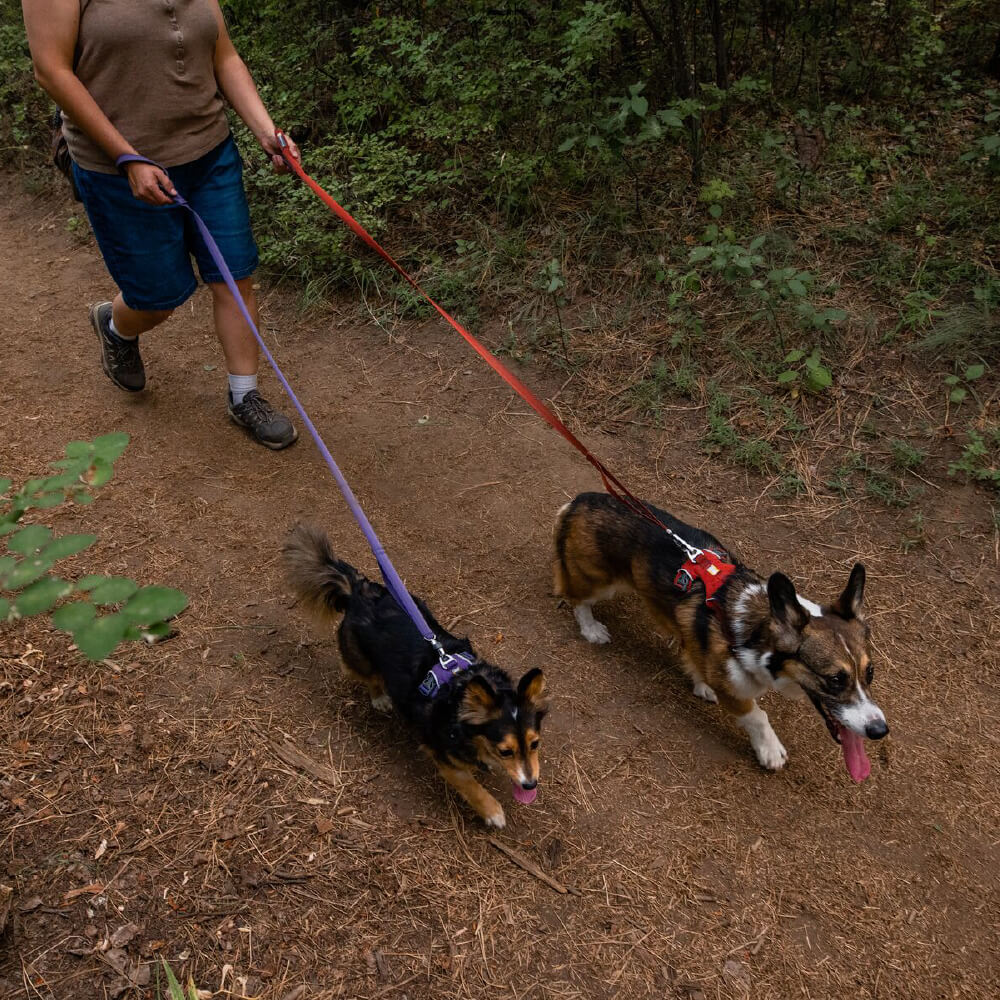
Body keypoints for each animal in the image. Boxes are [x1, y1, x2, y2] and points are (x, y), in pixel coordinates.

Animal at [282, 524, 552, 828]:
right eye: (506, 751)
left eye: (535, 744)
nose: (531, 785)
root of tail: (358, 590)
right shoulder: (443, 755)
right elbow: (470, 785)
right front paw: (492, 811)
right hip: (360, 660)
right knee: (365, 675)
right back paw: (379, 698)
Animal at [556, 492, 892, 780]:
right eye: (834, 679)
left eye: (870, 673)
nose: (880, 731)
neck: (755, 636)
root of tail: (581, 500)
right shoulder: (737, 690)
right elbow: (757, 715)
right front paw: (770, 750)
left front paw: (701, 683)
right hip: (599, 581)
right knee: (578, 600)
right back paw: (591, 629)